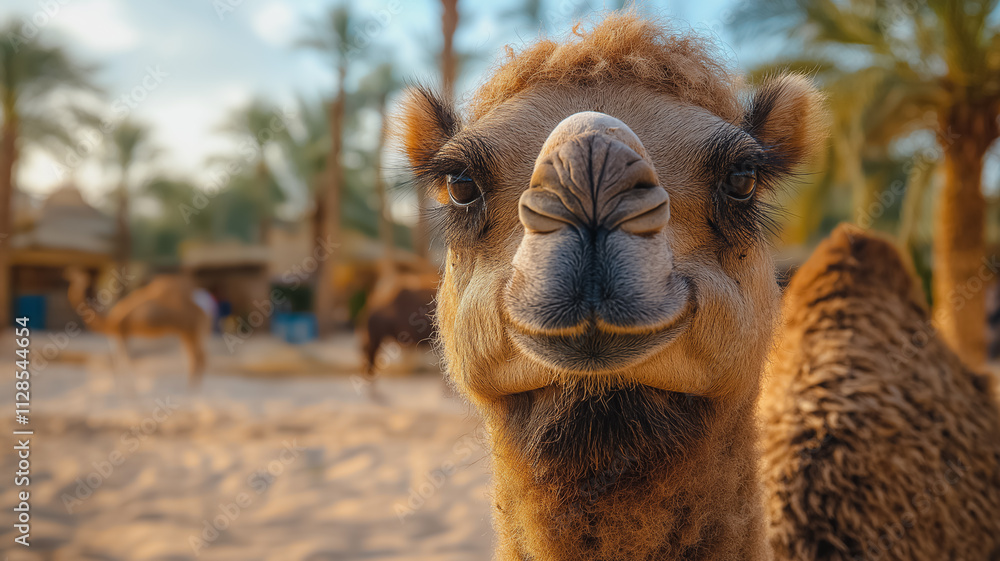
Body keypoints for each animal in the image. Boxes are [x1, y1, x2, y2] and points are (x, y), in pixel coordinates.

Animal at [66, 267, 209, 388]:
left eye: (78, 273)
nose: (66, 273)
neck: (108, 320)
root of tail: (202, 311)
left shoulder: (120, 335)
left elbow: (123, 366)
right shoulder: (120, 337)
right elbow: (122, 366)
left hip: (192, 331)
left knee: (199, 358)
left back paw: (193, 390)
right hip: (186, 333)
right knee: (195, 358)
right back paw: (192, 389)